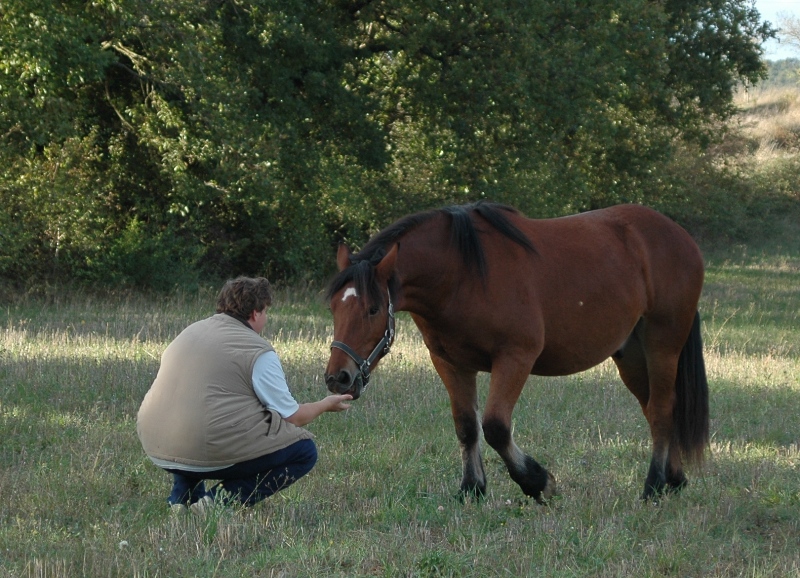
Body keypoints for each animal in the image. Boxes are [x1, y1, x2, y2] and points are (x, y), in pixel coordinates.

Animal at [322, 202, 708, 500]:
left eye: (373, 309)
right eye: (334, 307)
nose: (338, 377)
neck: (462, 274)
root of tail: (681, 237)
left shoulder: (516, 357)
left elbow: (495, 426)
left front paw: (538, 482)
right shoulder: (450, 363)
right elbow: (467, 426)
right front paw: (471, 489)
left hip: (662, 345)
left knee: (661, 409)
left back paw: (654, 486)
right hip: (631, 356)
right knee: (656, 408)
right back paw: (674, 479)